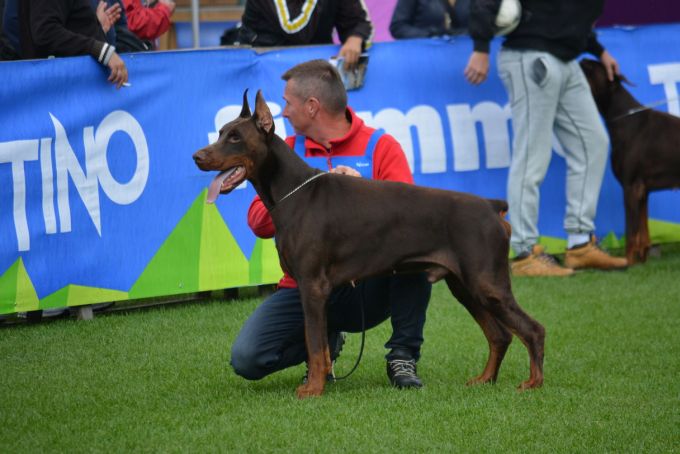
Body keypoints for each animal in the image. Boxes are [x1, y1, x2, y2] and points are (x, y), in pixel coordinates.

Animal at [580, 59, 680, 264]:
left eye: (590, 66)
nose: (579, 60)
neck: (625, 121)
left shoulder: (630, 186)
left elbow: (631, 232)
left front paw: (628, 262)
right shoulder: (643, 190)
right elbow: (643, 231)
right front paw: (642, 260)